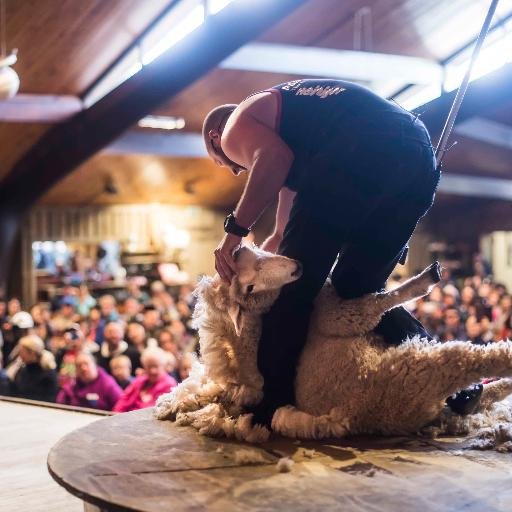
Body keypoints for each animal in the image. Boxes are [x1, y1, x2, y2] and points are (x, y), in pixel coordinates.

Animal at [155, 246, 512, 442]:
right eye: (250, 287)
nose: (298, 267)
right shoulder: (339, 314)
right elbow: (379, 302)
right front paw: (422, 281)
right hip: (422, 367)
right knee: (479, 361)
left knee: (484, 392)